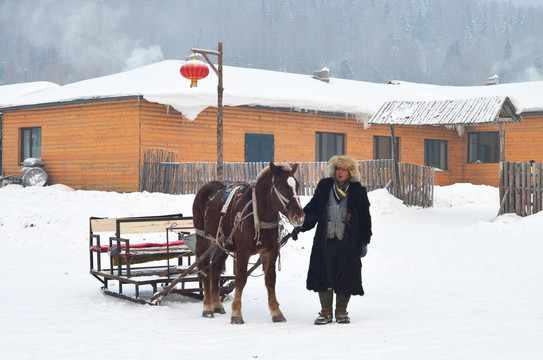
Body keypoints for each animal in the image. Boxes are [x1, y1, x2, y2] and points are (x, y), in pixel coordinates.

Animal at [192, 162, 306, 324]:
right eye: (281, 187)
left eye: (297, 186)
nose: (299, 216)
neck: (258, 215)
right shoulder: (243, 252)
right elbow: (240, 279)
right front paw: (236, 313)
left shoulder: (271, 250)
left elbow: (270, 280)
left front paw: (276, 312)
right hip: (204, 238)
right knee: (206, 271)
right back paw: (207, 307)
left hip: (222, 244)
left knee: (215, 270)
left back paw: (217, 305)